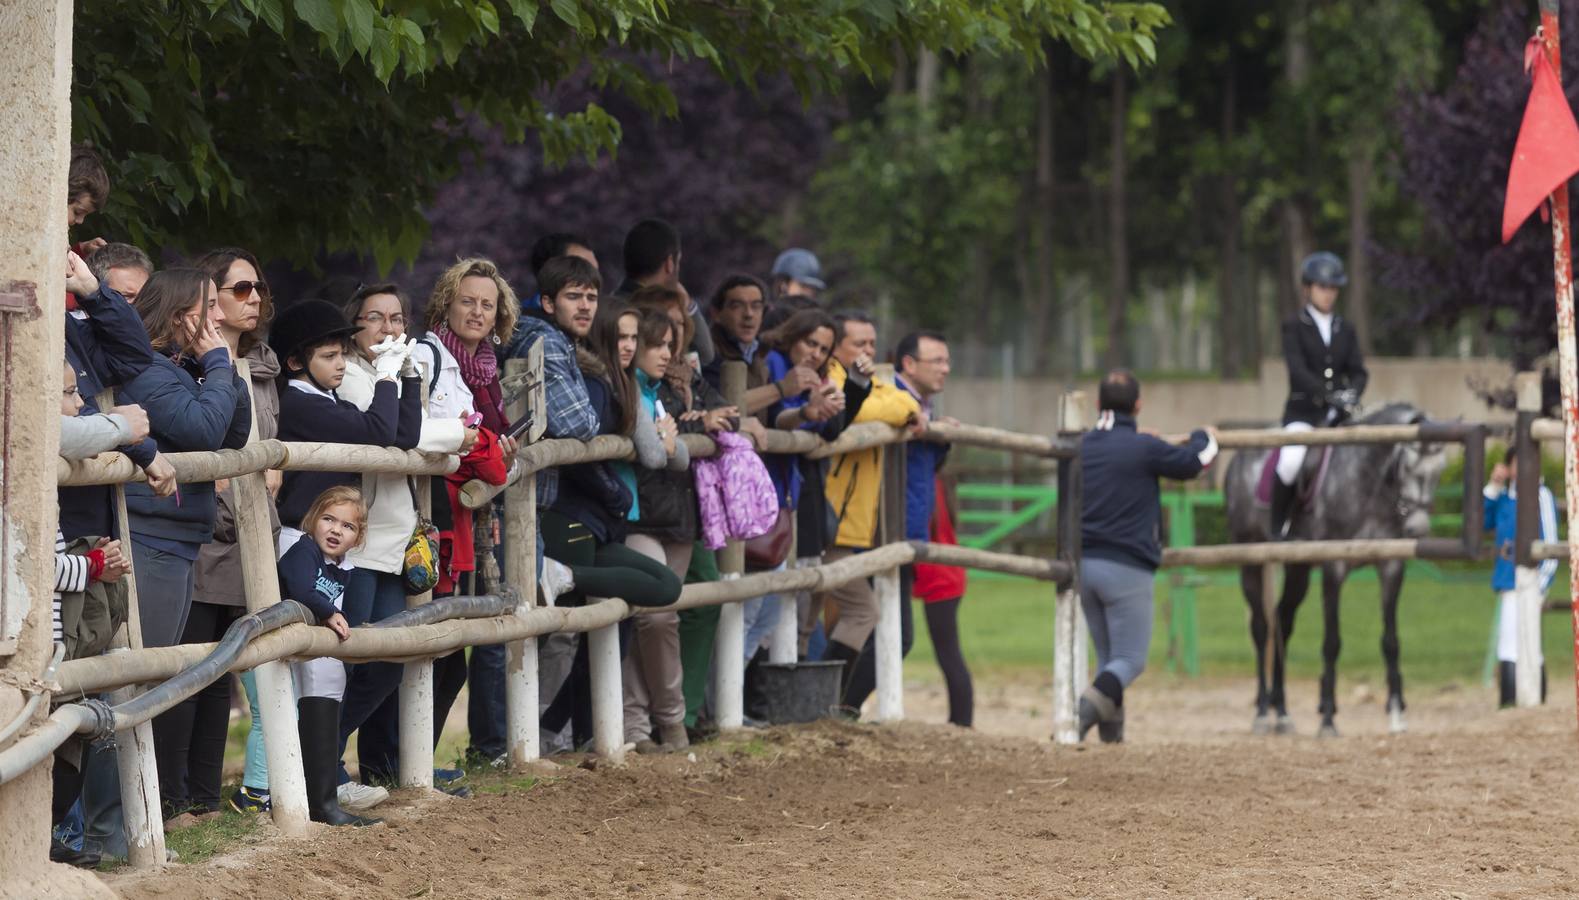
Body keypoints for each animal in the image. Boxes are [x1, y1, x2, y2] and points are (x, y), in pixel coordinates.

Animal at [1218, 402, 1446, 732]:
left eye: (1440, 471)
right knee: (1261, 627)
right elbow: (1332, 641)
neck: (1366, 480)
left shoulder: (1390, 566)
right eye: (1407, 467)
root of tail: (1238, 459)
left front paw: (1396, 712)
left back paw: (1282, 710)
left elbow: (1391, 641)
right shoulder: (1333, 567)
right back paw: (1262, 710)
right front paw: (1327, 716)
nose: (1418, 528)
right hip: (1250, 559)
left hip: (1297, 569)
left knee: (1282, 622)